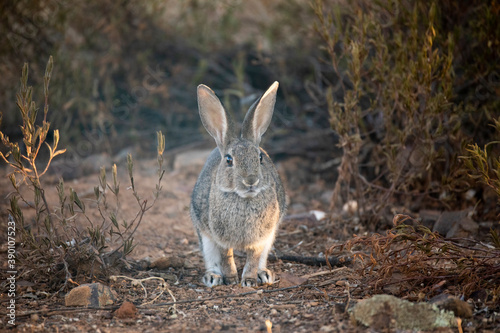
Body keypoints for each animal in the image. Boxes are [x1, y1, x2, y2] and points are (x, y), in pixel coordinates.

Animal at [190, 81, 286, 286]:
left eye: (260, 158)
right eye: (229, 160)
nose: (251, 181)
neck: (244, 199)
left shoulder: (261, 239)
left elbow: (253, 258)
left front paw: (249, 280)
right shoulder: (219, 238)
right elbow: (226, 257)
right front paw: (232, 279)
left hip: (271, 237)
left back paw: (264, 274)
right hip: (204, 236)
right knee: (211, 258)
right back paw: (213, 277)